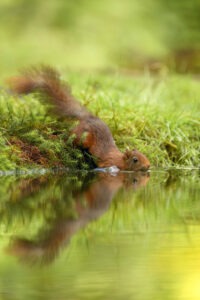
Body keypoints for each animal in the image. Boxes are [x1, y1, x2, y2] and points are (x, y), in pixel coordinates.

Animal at [7, 67, 149, 171]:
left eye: (145, 155)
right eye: (135, 160)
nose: (148, 165)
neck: (120, 160)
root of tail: (88, 117)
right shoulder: (109, 164)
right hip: (83, 137)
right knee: (71, 136)